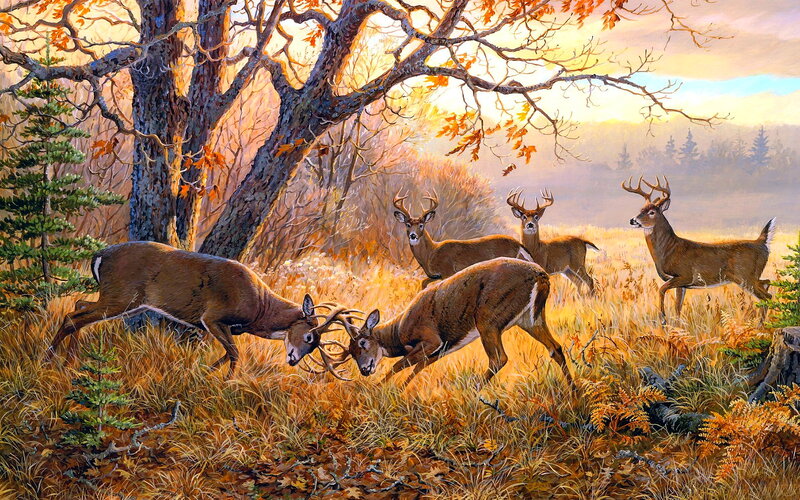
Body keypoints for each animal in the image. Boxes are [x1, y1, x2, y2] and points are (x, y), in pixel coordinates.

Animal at [45, 241, 352, 379]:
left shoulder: (224, 328)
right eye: (310, 337)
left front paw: (206, 373)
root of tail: (99, 255)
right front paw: (227, 382)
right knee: (73, 316)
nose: (293, 360)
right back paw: (50, 360)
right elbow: (234, 353)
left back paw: (69, 361)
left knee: (79, 307)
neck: (260, 309)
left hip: (121, 300)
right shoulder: (212, 317)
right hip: (121, 297)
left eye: (315, 345)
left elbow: (227, 352)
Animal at [331, 257, 573, 389]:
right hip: (531, 319)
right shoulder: (442, 349)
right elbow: (417, 367)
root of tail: (541, 275)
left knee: (499, 358)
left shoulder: (431, 339)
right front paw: (399, 390)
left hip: (488, 318)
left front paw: (378, 389)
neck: (399, 331)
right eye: (350, 352)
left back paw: (473, 391)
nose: (364, 369)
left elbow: (399, 364)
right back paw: (574, 392)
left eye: (362, 343)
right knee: (555, 348)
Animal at [392, 191, 532, 289]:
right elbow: (423, 283)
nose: (413, 235)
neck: (430, 253)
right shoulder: (435, 275)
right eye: (407, 224)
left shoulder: (448, 270)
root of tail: (518, 243)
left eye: (421, 225)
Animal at [622, 176, 775, 325]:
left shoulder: (685, 275)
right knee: (767, 283)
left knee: (767, 296)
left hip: (745, 276)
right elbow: (678, 308)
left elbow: (661, 290)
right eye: (641, 209)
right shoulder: (682, 285)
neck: (669, 249)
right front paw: (676, 326)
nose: (632, 220)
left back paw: (760, 325)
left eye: (651, 212)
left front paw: (663, 319)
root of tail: (762, 243)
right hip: (751, 276)